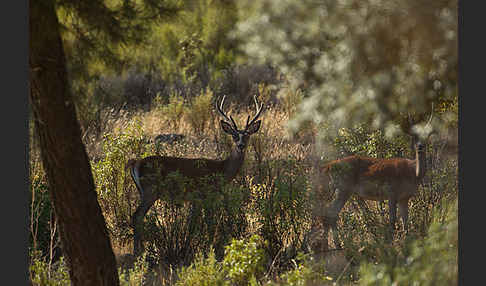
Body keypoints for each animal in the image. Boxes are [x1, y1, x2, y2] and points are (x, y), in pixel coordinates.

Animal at [124, 95, 262, 256]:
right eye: (234, 135)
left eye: (247, 136)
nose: (240, 146)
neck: (221, 170)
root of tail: (136, 163)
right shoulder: (204, 195)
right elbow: (208, 223)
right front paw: (210, 248)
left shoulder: (196, 200)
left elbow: (193, 224)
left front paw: (189, 246)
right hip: (150, 190)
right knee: (137, 215)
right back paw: (137, 252)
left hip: (144, 191)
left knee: (139, 216)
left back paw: (142, 250)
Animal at [318, 110, 434, 249]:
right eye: (414, 136)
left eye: (426, 136)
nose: (420, 146)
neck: (412, 173)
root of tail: (328, 166)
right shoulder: (392, 192)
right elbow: (392, 220)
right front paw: (390, 243)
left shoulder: (404, 197)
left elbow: (405, 221)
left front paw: (407, 242)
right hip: (344, 188)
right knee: (331, 213)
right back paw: (334, 246)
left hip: (341, 190)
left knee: (330, 214)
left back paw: (333, 245)